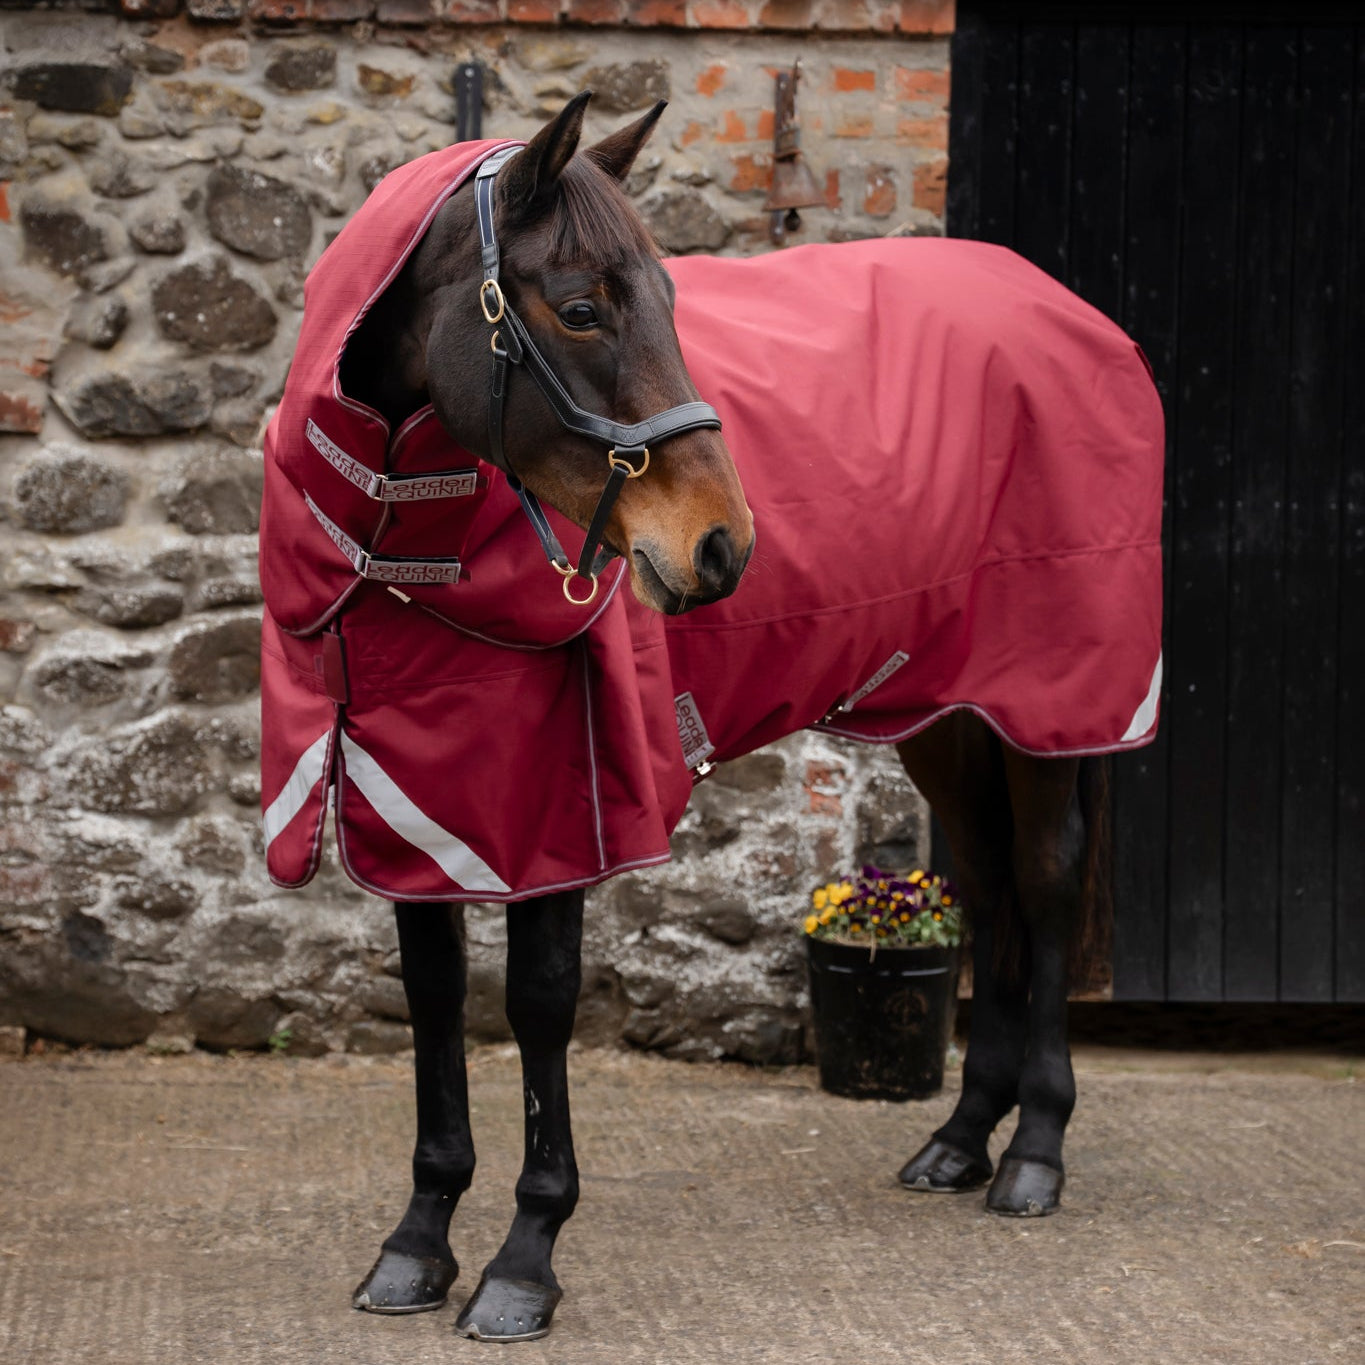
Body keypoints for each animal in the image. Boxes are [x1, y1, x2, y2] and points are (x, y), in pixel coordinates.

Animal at [257, 92, 1164, 1341]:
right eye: (581, 307)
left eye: (674, 301)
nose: (724, 547)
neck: (403, 548)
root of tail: (1068, 312)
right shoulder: (425, 797)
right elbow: (436, 1003)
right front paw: (417, 1243)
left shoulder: (560, 808)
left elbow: (539, 1006)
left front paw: (525, 1260)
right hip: (943, 714)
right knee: (983, 884)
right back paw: (957, 1139)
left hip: (1048, 710)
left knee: (1042, 879)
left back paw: (1033, 1152)